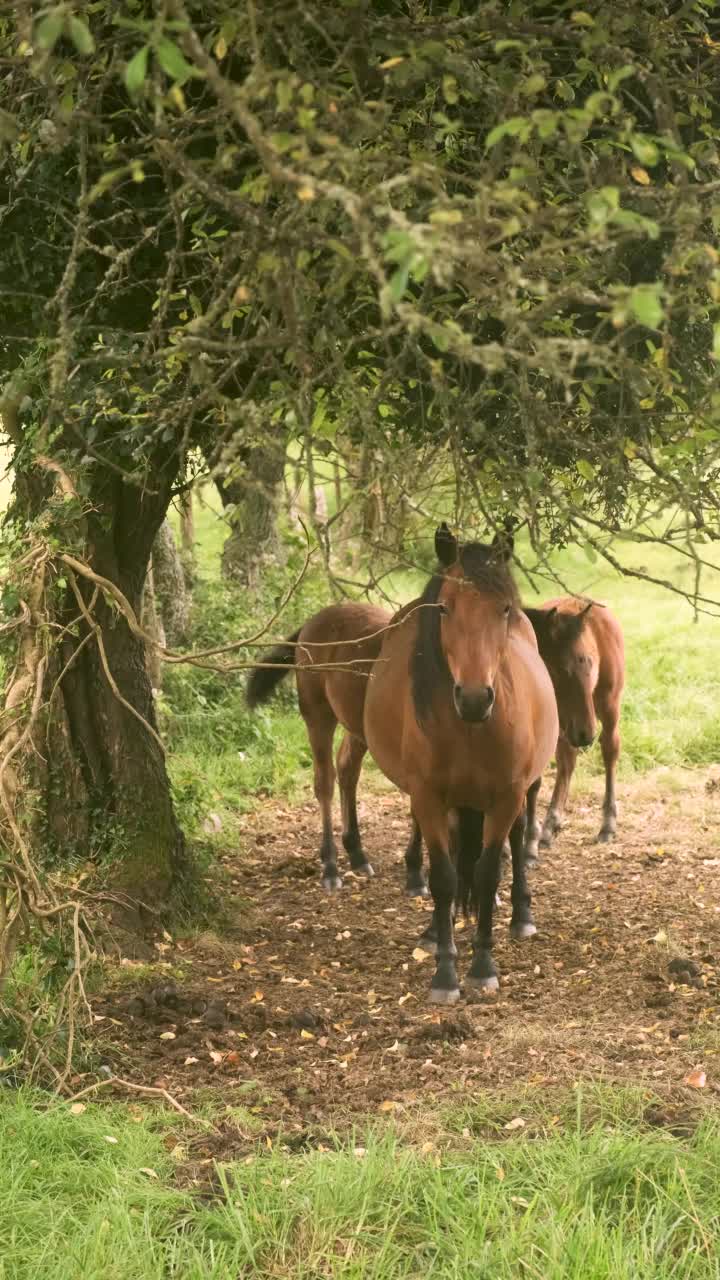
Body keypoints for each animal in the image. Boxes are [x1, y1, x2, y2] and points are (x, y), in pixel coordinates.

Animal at [244, 601, 425, 896]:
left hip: (357, 727)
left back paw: (357, 854)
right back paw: (330, 867)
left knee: (347, 768)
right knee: (325, 782)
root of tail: (312, 622)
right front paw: (417, 876)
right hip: (318, 715)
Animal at [363, 524, 556, 1003]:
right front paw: (446, 973)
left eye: (503, 608)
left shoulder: (506, 797)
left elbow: (487, 873)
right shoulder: (429, 798)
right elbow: (445, 878)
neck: (471, 729)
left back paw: (521, 916)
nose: (472, 698)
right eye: (445, 608)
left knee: (517, 839)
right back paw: (437, 929)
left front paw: (483, 966)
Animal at [517, 599, 620, 860]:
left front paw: (528, 848)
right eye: (555, 670)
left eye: (590, 662)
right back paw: (550, 827)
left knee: (609, 751)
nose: (587, 733)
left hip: (607, 706)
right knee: (567, 762)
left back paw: (607, 825)